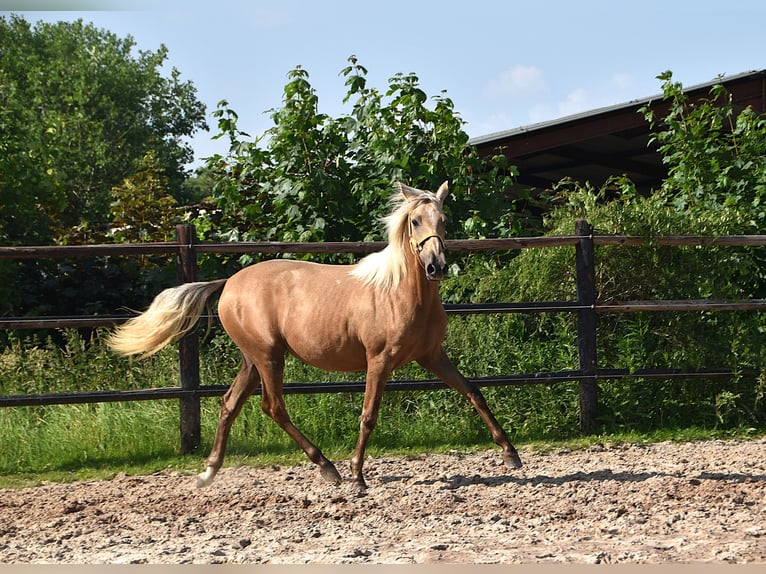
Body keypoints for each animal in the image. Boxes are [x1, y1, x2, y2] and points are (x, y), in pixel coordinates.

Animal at [108, 181, 523, 489]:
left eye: (444, 220)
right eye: (416, 220)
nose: (436, 265)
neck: (400, 292)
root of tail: (228, 284)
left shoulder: (433, 355)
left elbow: (474, 393)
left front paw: (511, 454)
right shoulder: (379, 361)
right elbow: (368, 415)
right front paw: (357, 474)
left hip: (252, 360)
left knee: (229, 404)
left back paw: (208, 472)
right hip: (269, 357)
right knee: (273, 407)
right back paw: (328, 467)